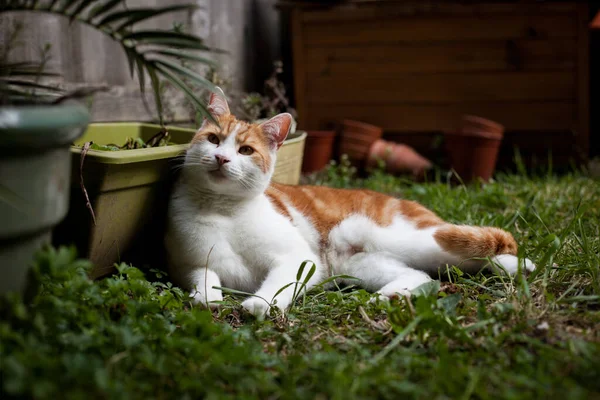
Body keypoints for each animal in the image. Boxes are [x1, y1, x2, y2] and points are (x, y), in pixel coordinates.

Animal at [164, 89, 536, 318]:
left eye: (245, 150)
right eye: (213, 139)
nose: (222, 158)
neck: (224, 209)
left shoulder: (299, 259)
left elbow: (279, 282)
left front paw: (259, 304)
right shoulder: (188, 264)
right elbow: (203, 279)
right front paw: (209, 298)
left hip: (399, 236)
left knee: (483, 246)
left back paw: (518, 266)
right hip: (363, 267)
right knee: (420, 274)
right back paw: (388, 296)